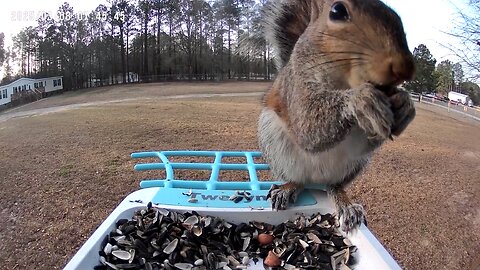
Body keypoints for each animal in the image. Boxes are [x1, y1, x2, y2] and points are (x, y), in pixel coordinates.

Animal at [258, 0, 416, 232]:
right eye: (337, 11)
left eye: (397, 17)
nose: (405, 68)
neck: (344, 82)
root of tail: (316, 179)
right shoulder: (296, 87)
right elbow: (307, 126)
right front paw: (361, 100)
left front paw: (405, 103)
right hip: (275, 144)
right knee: (298, 179)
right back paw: (287, 188)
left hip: (352, 166)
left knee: (335, 186)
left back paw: (346, 205)